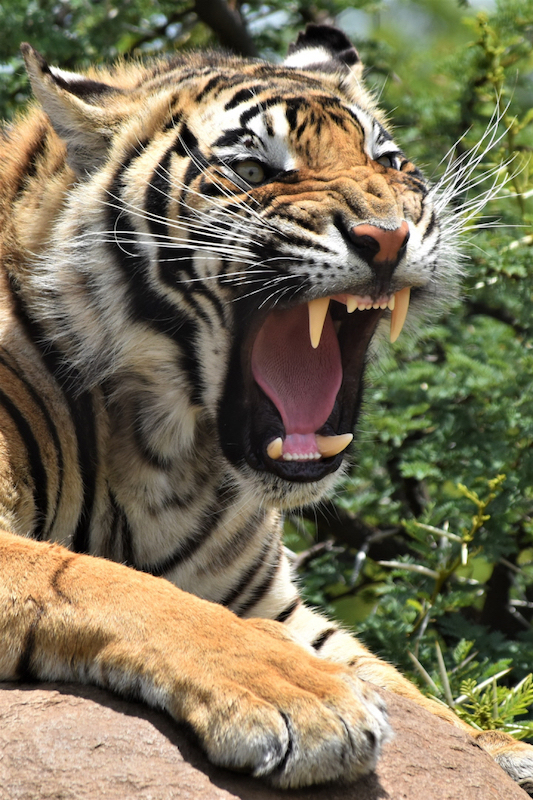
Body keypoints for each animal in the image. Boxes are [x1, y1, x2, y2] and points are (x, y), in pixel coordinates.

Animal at [0, 21, 532, 792]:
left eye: (389, 161)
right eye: (256, 167)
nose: (388, 235)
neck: (167, 452)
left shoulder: (270, 599)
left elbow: (402, 683)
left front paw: (495, 745)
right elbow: (119, 587)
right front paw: (306, 701)